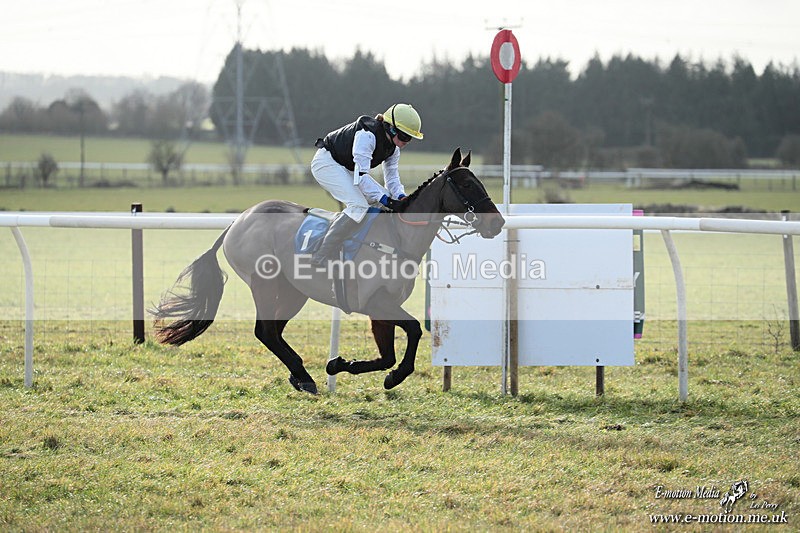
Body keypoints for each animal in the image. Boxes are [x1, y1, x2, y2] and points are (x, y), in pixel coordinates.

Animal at [150, 148, 505, 394]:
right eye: (465, 183)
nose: (498, 223)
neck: (397, 237)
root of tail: (238, 221)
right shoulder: (375, 302)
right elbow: (415, 330)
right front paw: (390, 377)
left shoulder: (381, 308)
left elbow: (388, 354)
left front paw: (342, 365)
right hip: (264, 282)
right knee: (265, 331)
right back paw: (304, 376)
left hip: (293, 291)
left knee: (273, 331)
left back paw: (299, 375)